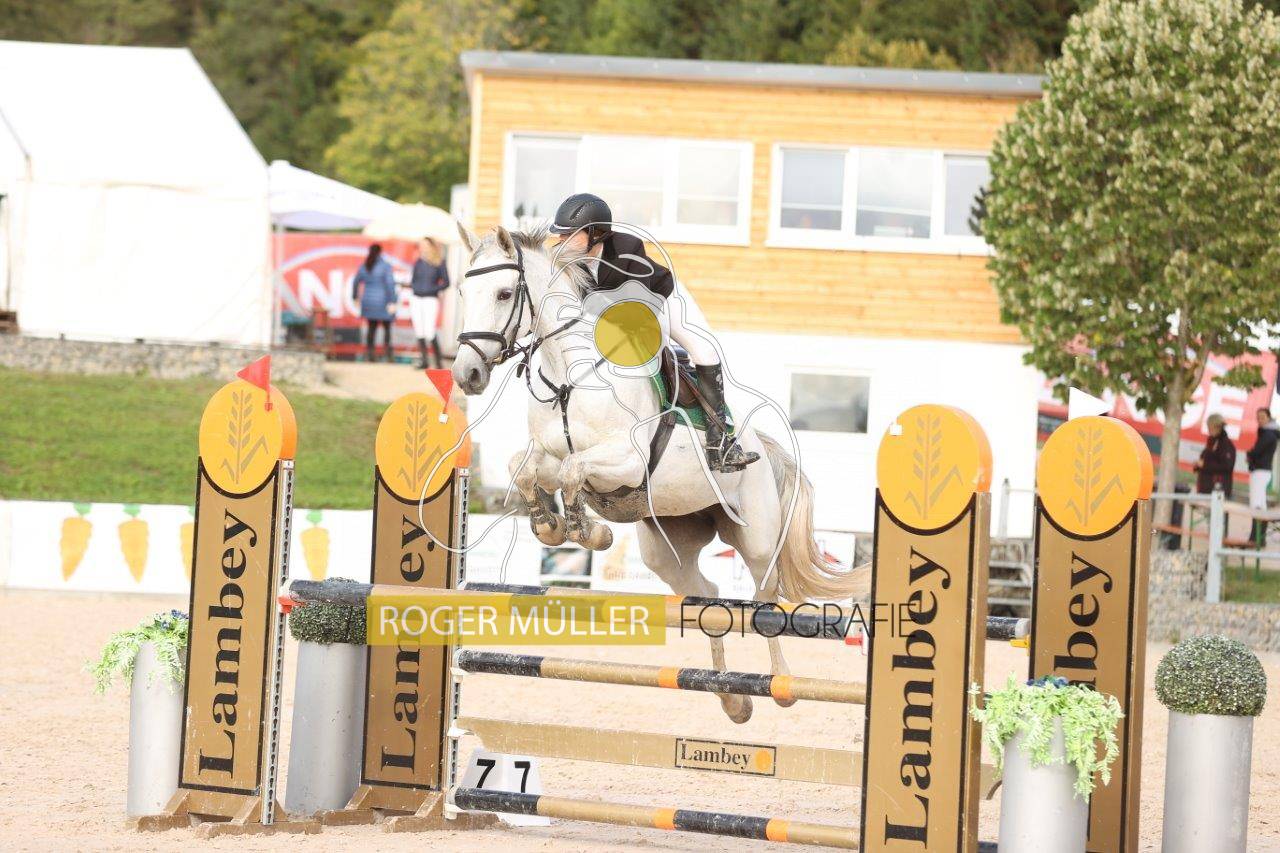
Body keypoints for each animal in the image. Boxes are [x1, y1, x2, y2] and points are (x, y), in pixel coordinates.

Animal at [451, 222, 869, 723]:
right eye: (462, 291)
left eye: (503, 292)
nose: (467, 374)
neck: (569, 374)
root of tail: (762, 449)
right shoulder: (545, 455)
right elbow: (526, 468)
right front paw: (549, 524)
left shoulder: (625, 461)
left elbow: (574, 470)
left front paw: (589, 532)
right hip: (668, 548)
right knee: (708, 597)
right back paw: (732, 699)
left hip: (757, 538)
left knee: (766, 601)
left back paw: (781, 685)